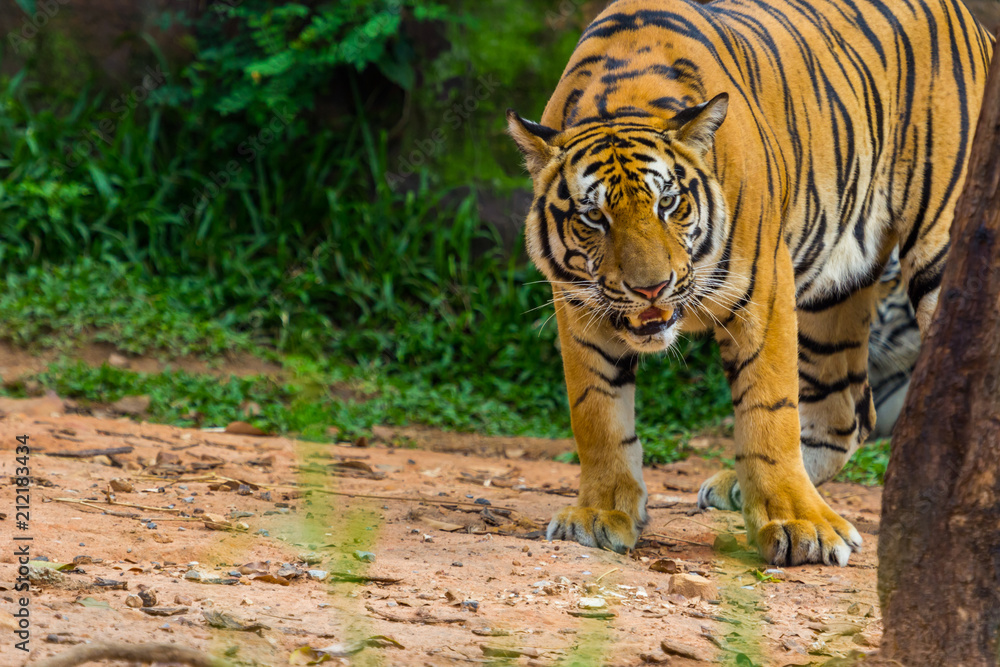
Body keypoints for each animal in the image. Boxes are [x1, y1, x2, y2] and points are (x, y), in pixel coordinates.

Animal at [507, 0, 993, 566]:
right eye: (594, 217)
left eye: (667, 202)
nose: (651, 288)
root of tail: (972, 23)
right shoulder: (580, 305)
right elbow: (596, 412)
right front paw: (600, 513)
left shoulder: (763, 292)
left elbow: (769, 409)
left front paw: (799, 524)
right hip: (834, 290)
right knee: (847, 408)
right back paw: (744, 488)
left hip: (942, 249)